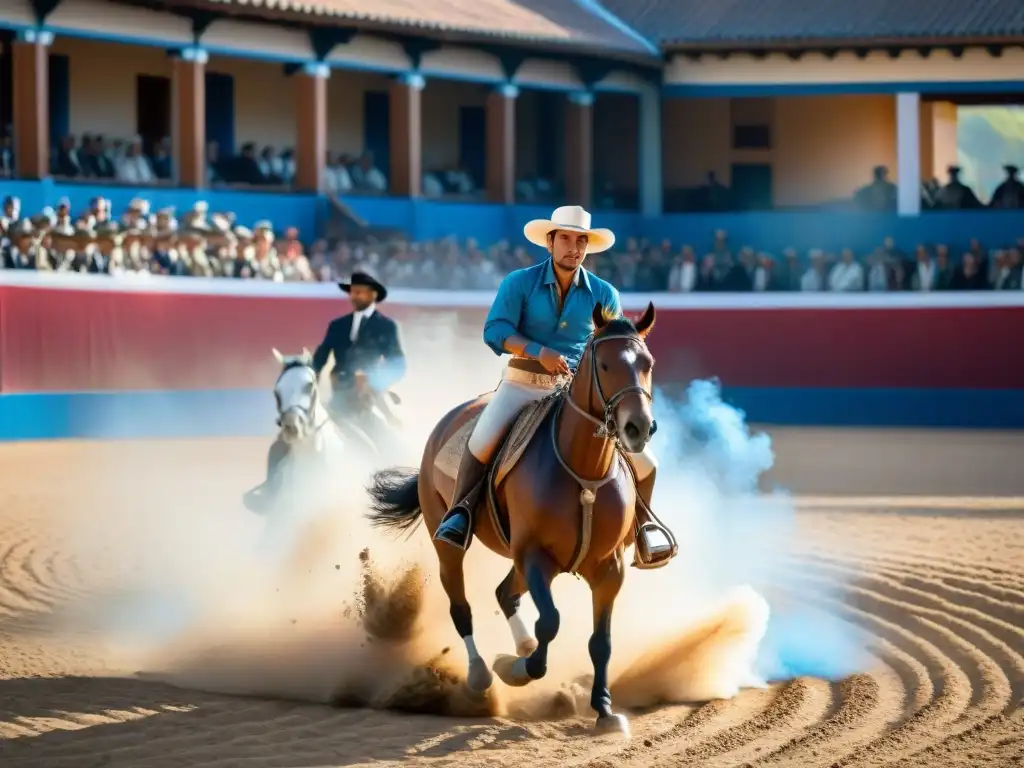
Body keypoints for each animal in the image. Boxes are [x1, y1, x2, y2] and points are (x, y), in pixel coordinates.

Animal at [366, 303, 655, 737]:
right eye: (604, 364)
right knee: (461, 607)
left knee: (505, 593)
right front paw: (518, 669)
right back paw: (481, 674)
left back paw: (518, 649)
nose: (638, 427)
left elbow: (600, 640)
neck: (582, 470)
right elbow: (549, 622)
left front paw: (605, 710)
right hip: (450, 545)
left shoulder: (609, 569)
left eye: (647, 363)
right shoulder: (535, 557)